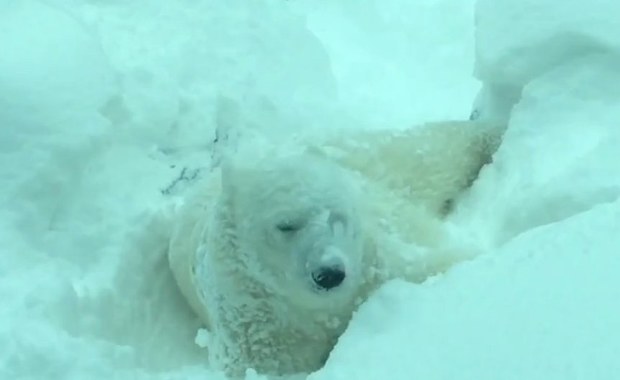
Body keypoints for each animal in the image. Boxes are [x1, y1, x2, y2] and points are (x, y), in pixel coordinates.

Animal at [168, 121, 504, 378]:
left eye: (336, 215)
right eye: (286, 225)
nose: (329, 274)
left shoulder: (371, 266)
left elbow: (429, 264)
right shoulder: (255, 327)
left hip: (362, 157)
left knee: (427, 152)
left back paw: (491, 135)